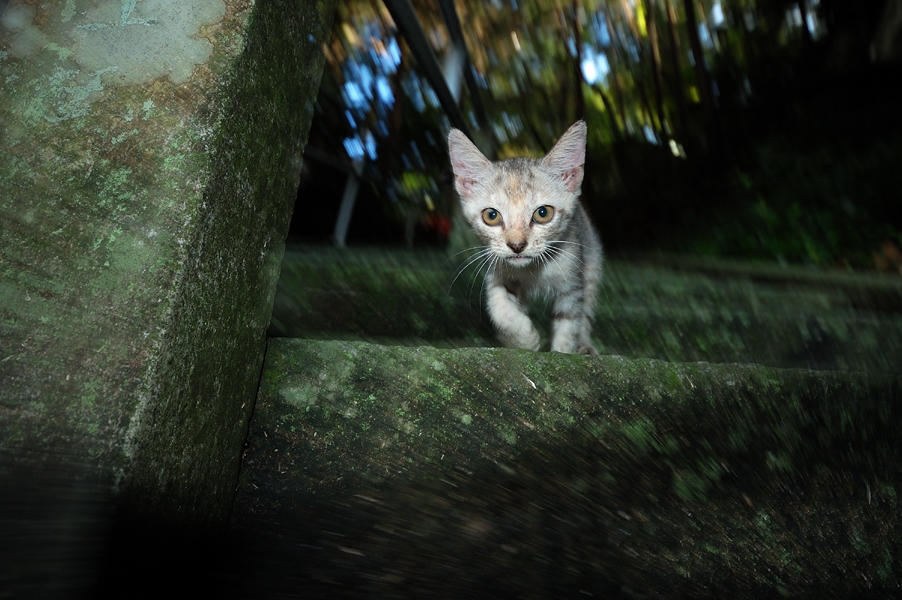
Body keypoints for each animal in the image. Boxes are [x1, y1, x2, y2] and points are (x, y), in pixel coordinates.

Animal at [448, 120, 603, 355]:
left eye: (543, 213)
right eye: (491, 216)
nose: (517, 245)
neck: (532, 271)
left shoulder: (572, 285)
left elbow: (569, 327)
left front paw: (562, 352)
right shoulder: (497, 270)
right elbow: (498, 306)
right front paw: (524, 339)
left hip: (591, 257)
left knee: (585, 311)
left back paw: (585, 346)